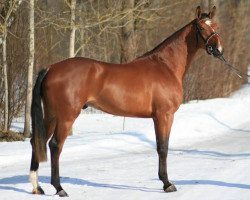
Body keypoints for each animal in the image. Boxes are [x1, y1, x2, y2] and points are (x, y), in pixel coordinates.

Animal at [29, 6, 225, 197]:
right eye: (201, 28)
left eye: (216, 25)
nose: (218, 49)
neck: (165, 66)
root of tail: (50, 68)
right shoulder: (164, 116)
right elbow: (163, 147)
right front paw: (167, 183)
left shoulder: (158, 117)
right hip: (66, 117)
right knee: (55, 145)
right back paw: (59, 188)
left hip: (52, 116)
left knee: (36, 142)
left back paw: (37, 187)